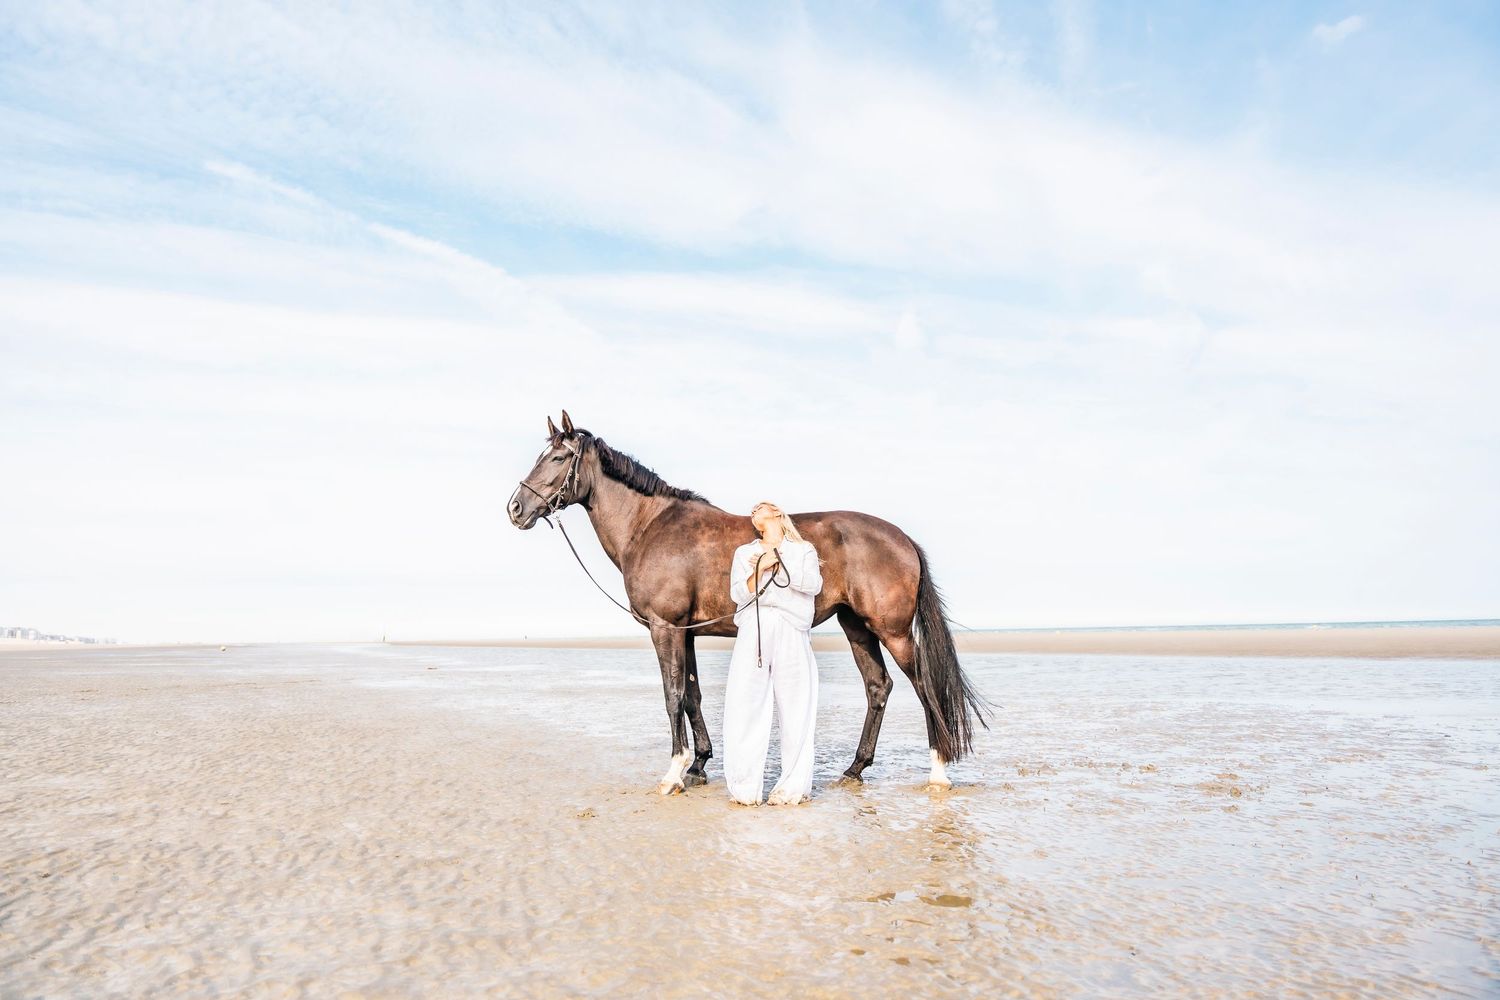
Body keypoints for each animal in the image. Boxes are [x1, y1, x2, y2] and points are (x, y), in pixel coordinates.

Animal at [506, 410, 991, 794]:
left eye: (557, 458)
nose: (515, 508)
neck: (650, 527)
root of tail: (902, 537)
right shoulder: (686, 633)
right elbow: (692, 695)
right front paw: (700, 764)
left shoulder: (665, 628)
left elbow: (672, 694)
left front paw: (674, 771)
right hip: (856, 628)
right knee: (878, 687)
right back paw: (855, 769)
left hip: (892, 632)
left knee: (924, 687)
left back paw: (938, 771)